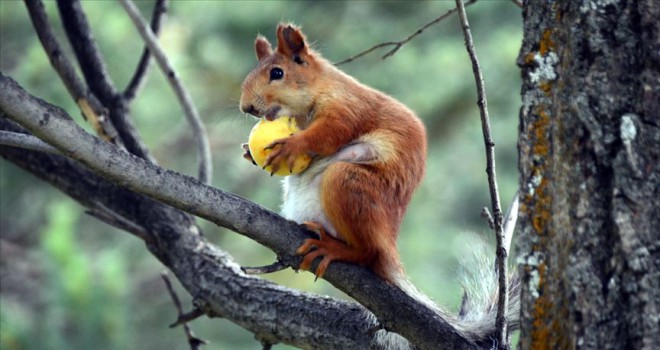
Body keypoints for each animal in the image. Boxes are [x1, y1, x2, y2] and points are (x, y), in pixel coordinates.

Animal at [240, 23, 520, 344]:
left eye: (277, 73)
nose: (246, 107)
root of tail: (388, 245)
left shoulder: (349, 107)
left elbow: (328, 134)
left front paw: (293, 145)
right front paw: (248, 152)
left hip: (347, 183)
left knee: (367, 253)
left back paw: (337, 249)